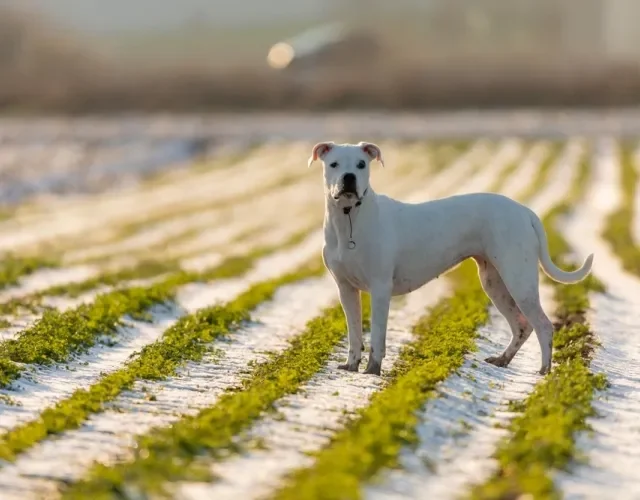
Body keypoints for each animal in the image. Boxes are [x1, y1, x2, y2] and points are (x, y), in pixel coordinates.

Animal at [310, 141, 596, 376]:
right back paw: (502, 360)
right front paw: (351, 366)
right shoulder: (346, 289)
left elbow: (378, 335)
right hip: (494, 282)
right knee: (521, 326)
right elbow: (354, 334)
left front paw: (372, 371)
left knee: (544, 325)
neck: (349, 218)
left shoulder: (380, 288)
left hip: (518, 279)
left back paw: (544, 371)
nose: (349, 178)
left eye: (361, 164)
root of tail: (525, 211)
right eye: (334, 164)